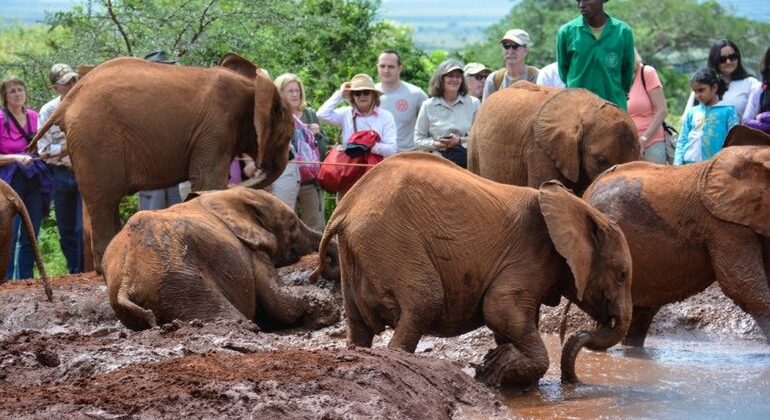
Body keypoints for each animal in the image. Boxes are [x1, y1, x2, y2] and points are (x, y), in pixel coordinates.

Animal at [29, 53, 294, 270]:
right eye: (288, 135)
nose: (291, 156)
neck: (253, 86)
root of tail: (67, 102)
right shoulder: (216, 126)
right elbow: (207, 179)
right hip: (95, 139)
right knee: (102, 201)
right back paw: (104, 268)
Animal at [101, 187, 340, 332]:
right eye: (292, 225)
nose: (315, 273)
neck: (223, 194)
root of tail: (127, 280)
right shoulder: (251, 252)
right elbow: (279, 301)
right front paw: (327, 313)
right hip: (181, 282)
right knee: (224, 316)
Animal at [310, 153, 632, 388]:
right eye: (622, 275)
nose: (572, 382)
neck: (580, 208)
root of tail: (344, 209)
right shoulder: (531, 255)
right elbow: (499, 309)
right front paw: (495, 371)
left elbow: (512, 321)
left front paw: (502, 372)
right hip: (391, 240)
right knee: (425, 301)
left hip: (358, 253)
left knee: (359, 327)